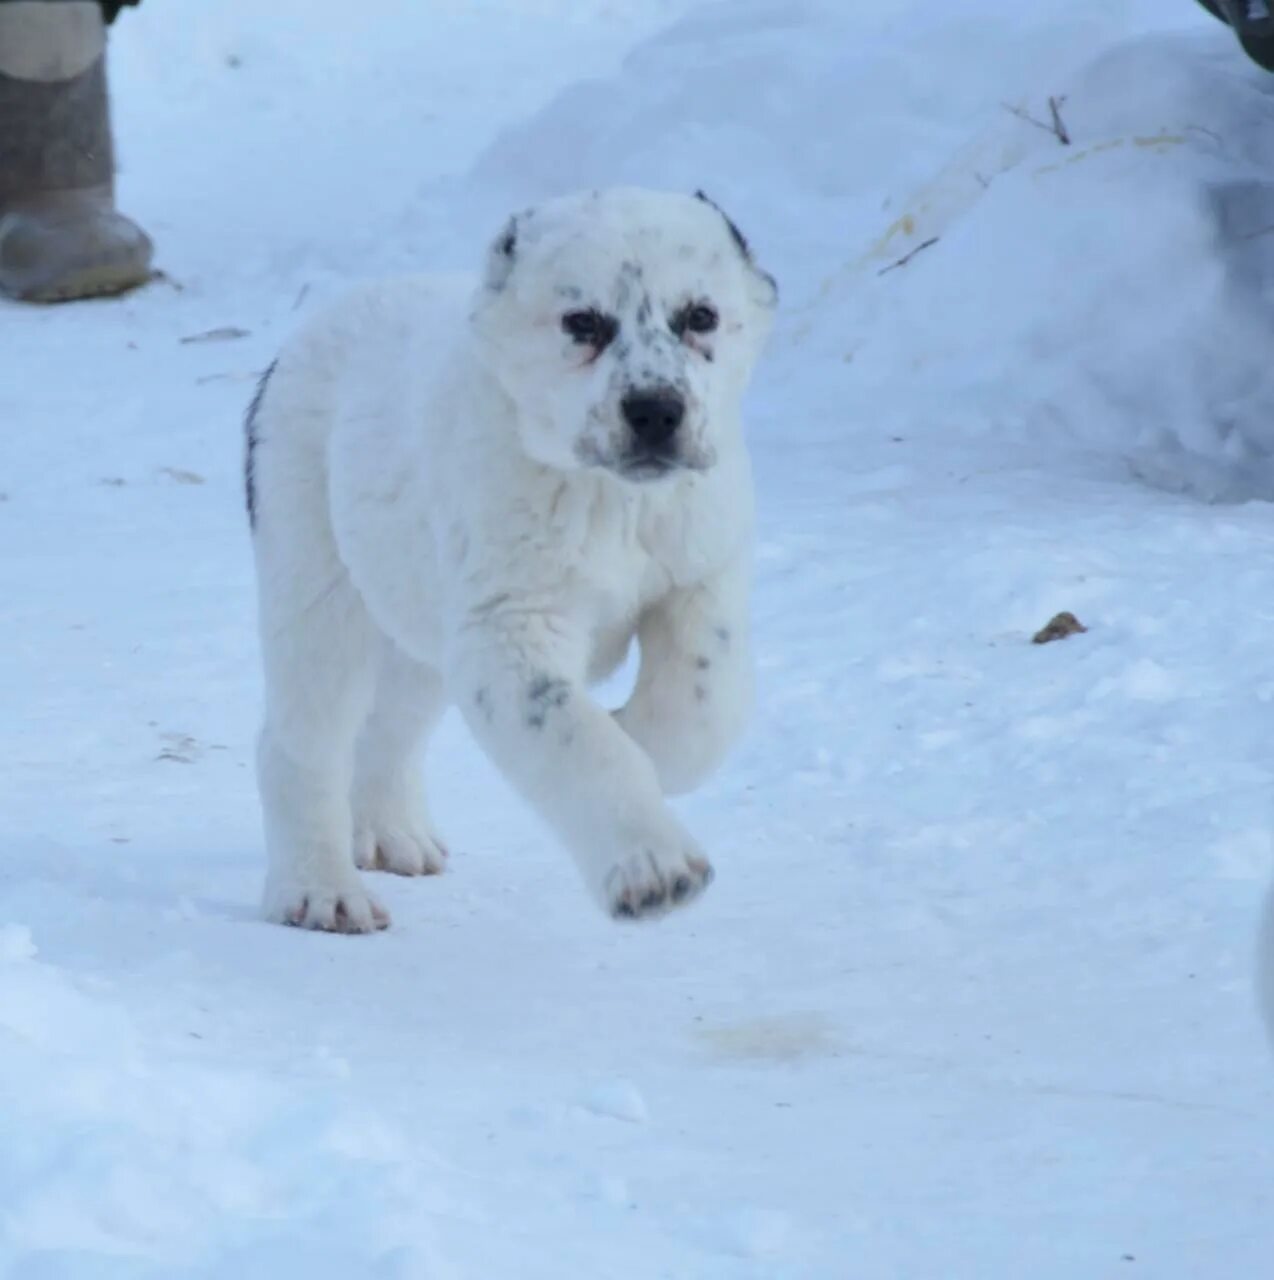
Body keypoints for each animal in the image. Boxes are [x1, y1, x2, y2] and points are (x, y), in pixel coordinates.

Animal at [243, 186, 773, 931]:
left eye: (701, 317)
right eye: (582, 323)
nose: (655, 411)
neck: (614, 499)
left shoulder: (702, 579)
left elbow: (704, 702)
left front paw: (637, 735)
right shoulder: (509, 632)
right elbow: (580, 742)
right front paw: (653, 867)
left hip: (420, 626)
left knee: (389, 727)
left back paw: (392, 832)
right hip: (316, 590)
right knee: (301, 744)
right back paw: (320, 890)